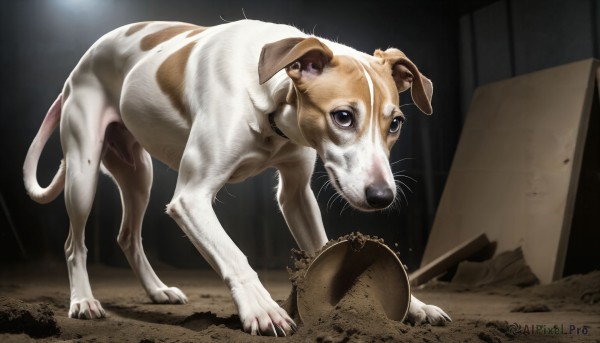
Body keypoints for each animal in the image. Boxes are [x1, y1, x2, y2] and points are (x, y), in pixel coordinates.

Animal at [23, 19, 450, 336]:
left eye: (395, 124)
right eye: (343, 116)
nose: (382, 196)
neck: (266, 87)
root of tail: (79, 65)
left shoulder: (296, 195)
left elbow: (322, 247)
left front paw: (414, 305)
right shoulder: (191, 199)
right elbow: (235, 254)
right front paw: (261, 307)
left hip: (137, 174)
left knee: (128, 236)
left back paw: (157, 290)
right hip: (82, 174)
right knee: (73, 244)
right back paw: (83, 301)